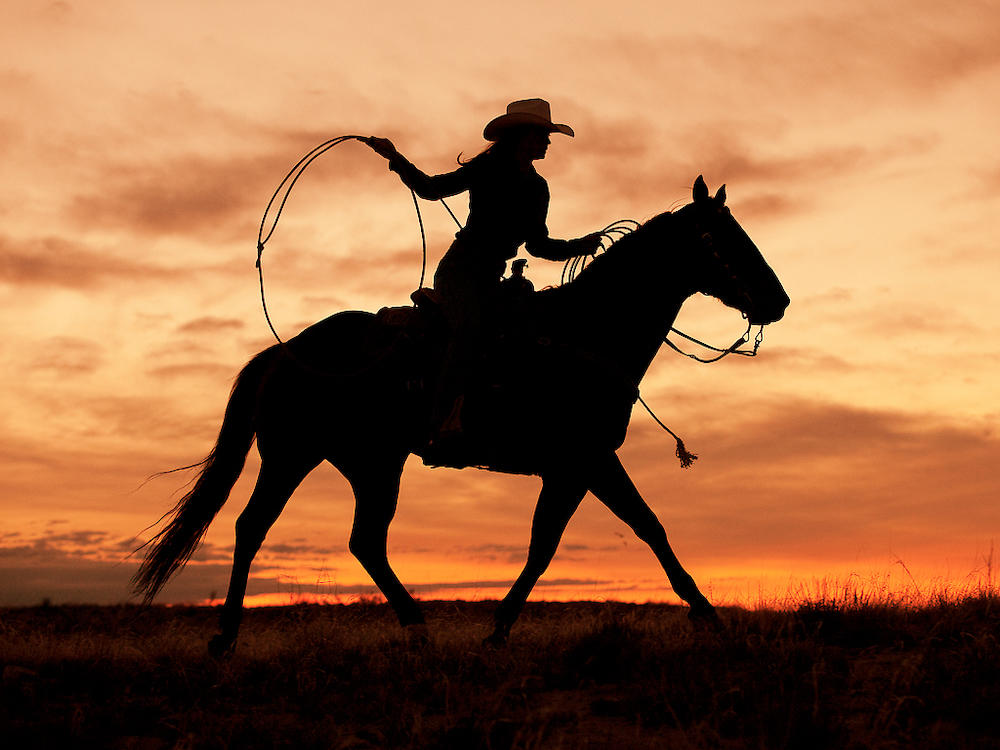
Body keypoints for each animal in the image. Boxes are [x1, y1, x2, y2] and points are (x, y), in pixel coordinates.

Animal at [133, 178, 788, 656]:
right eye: (724, 236)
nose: (777, 301)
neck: (584, 332)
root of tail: (286, 350)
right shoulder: (584, 460)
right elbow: (595, 537)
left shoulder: (580, 466)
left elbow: (597, 536)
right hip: (296, 455)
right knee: (255, 528)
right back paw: (226, 638)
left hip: (369, 463)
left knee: (363, 540)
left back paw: (414, 627)